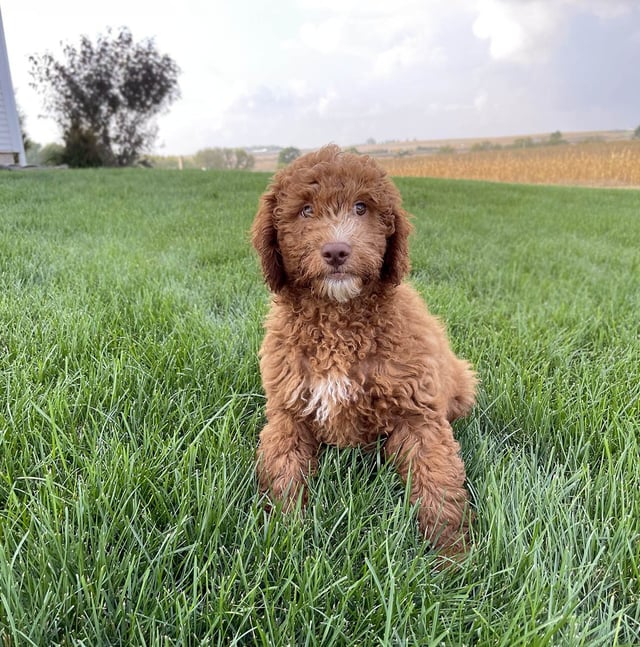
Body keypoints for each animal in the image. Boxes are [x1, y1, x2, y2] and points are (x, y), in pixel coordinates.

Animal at [252, 144, 478, 556]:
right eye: (305, 210)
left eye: (361, 207)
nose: (337, 251)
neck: (340, 322)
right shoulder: (288, 410)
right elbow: (283, 469)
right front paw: (284, 534)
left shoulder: (417, 414)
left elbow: (437, 479)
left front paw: (451, 555)